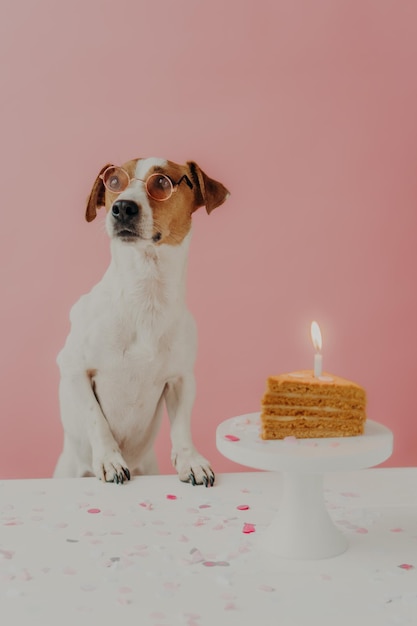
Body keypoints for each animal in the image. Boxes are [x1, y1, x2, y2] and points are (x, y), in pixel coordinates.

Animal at [53, 155, 229, 482]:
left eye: (162, 182)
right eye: (114, 181)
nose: (122, 207)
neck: (146, 294)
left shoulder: (181, 379)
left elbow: (182, 426)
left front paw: (191, 460)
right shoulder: (73, 369)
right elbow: (96, 419)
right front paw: (110, 459)